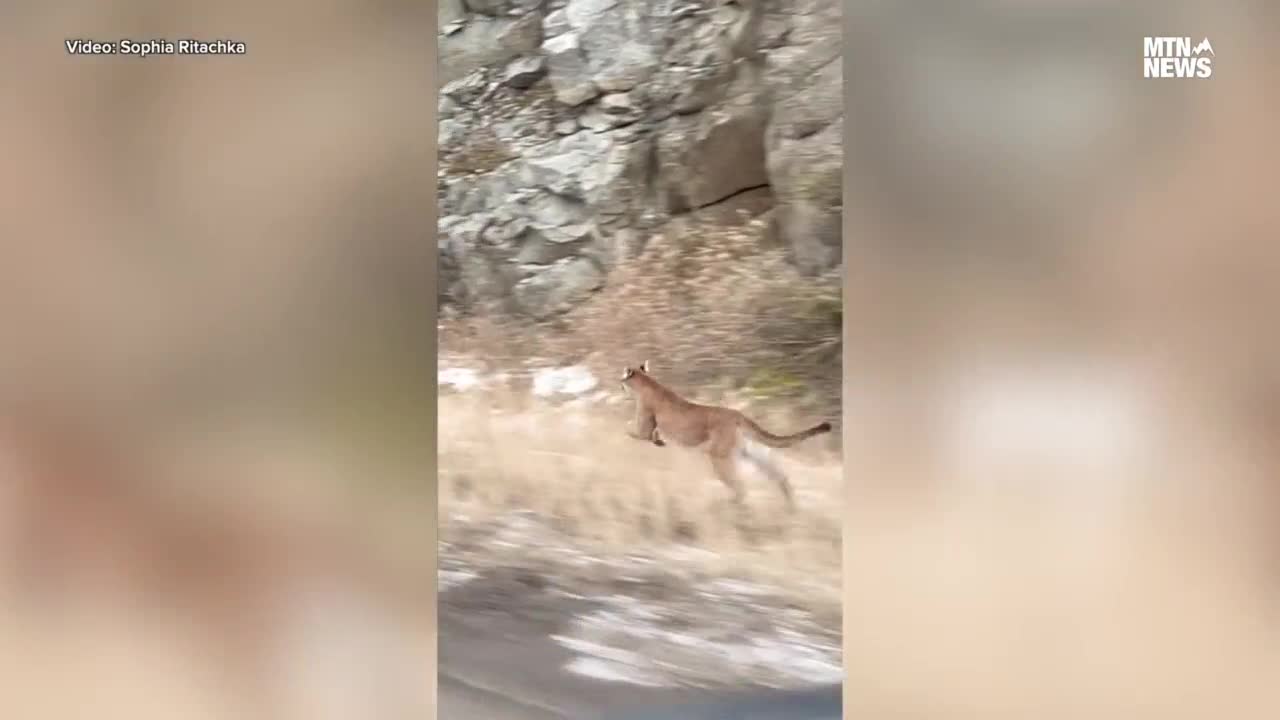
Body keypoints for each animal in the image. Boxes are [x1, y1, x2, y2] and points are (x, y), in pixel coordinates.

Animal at [620, 361, 832, 507]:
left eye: (623, 379)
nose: (619, 384)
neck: (647, 383)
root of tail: (739, 415)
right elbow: (650, 435)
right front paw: (658, 441)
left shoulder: (644, 425)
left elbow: (633, 431)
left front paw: (625, 431)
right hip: (754, 453)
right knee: (781, 478)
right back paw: (791, 509)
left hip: (719, 457)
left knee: (740, 488)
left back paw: (729, 506)